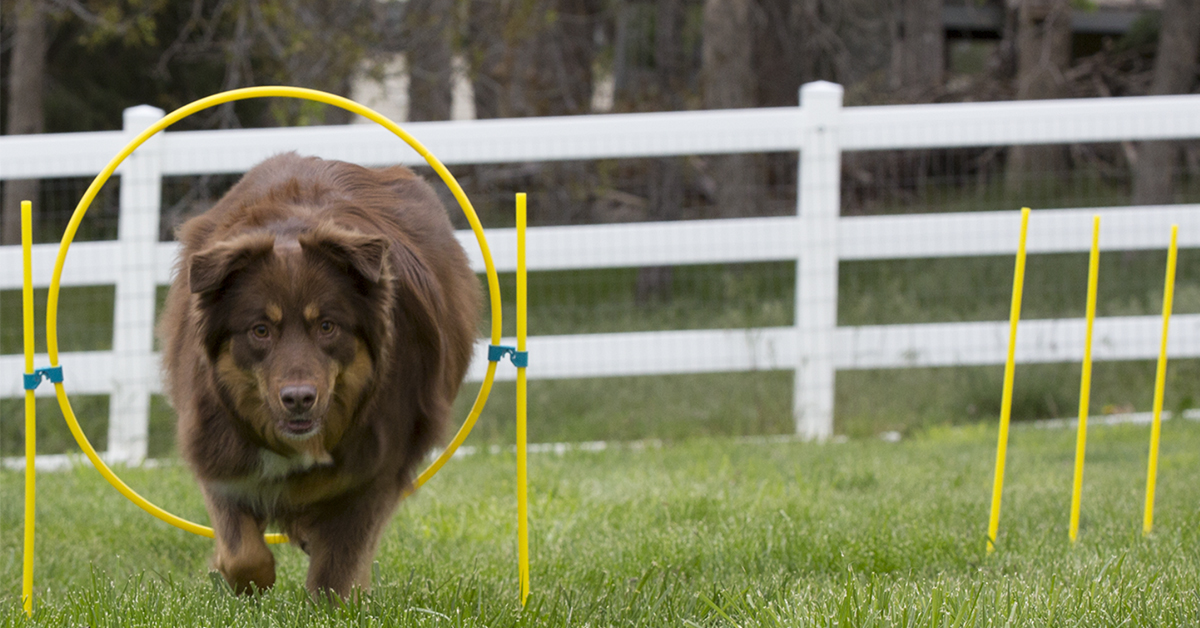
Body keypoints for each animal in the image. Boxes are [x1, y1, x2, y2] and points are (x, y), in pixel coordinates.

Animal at [157, 152, 480, 600]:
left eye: (327, 326)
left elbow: (338, 566)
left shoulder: (377, 463)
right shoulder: (217, 445)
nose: (298, 398)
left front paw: (334, 600)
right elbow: (242, 552)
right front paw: (240, 577)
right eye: (260, 330)